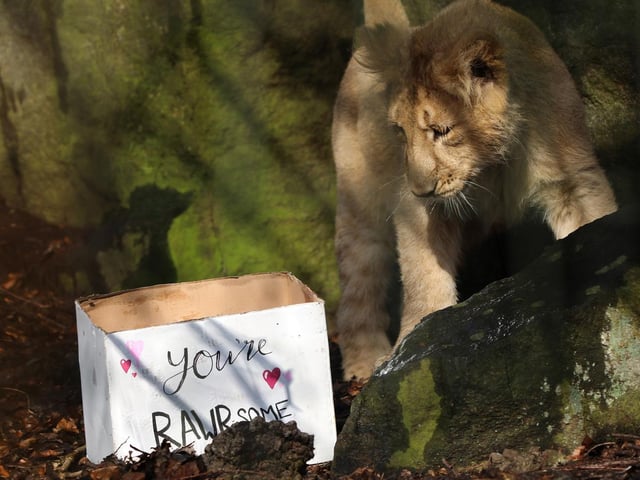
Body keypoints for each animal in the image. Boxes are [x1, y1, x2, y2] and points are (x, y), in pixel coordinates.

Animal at [332, 0, 617, 380]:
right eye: (400, 131)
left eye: (442, 130)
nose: (421, 189)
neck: (490, 164)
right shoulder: (418, 211)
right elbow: (423, 276)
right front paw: (414, 345)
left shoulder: (572, 180)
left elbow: (593, 221)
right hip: (361, 206)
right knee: (358, 283)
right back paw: (364, 363)